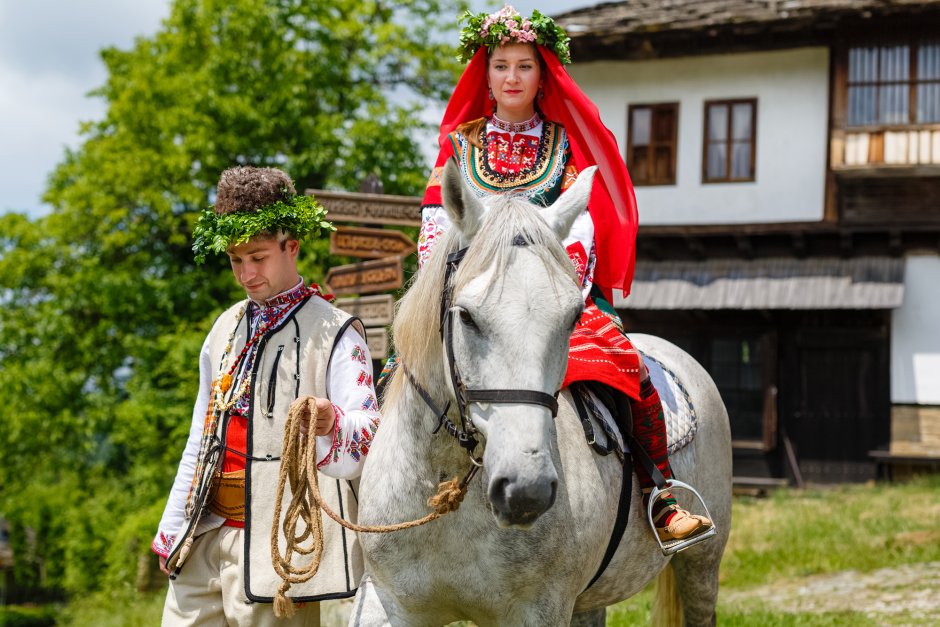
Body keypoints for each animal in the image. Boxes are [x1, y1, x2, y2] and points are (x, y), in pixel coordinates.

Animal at [348, 162, 732, 627]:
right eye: (467, 316)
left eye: (572, 317)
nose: (525, 490)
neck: (445, 479)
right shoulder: (388, 601)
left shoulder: (537, 610)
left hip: (702, 564)